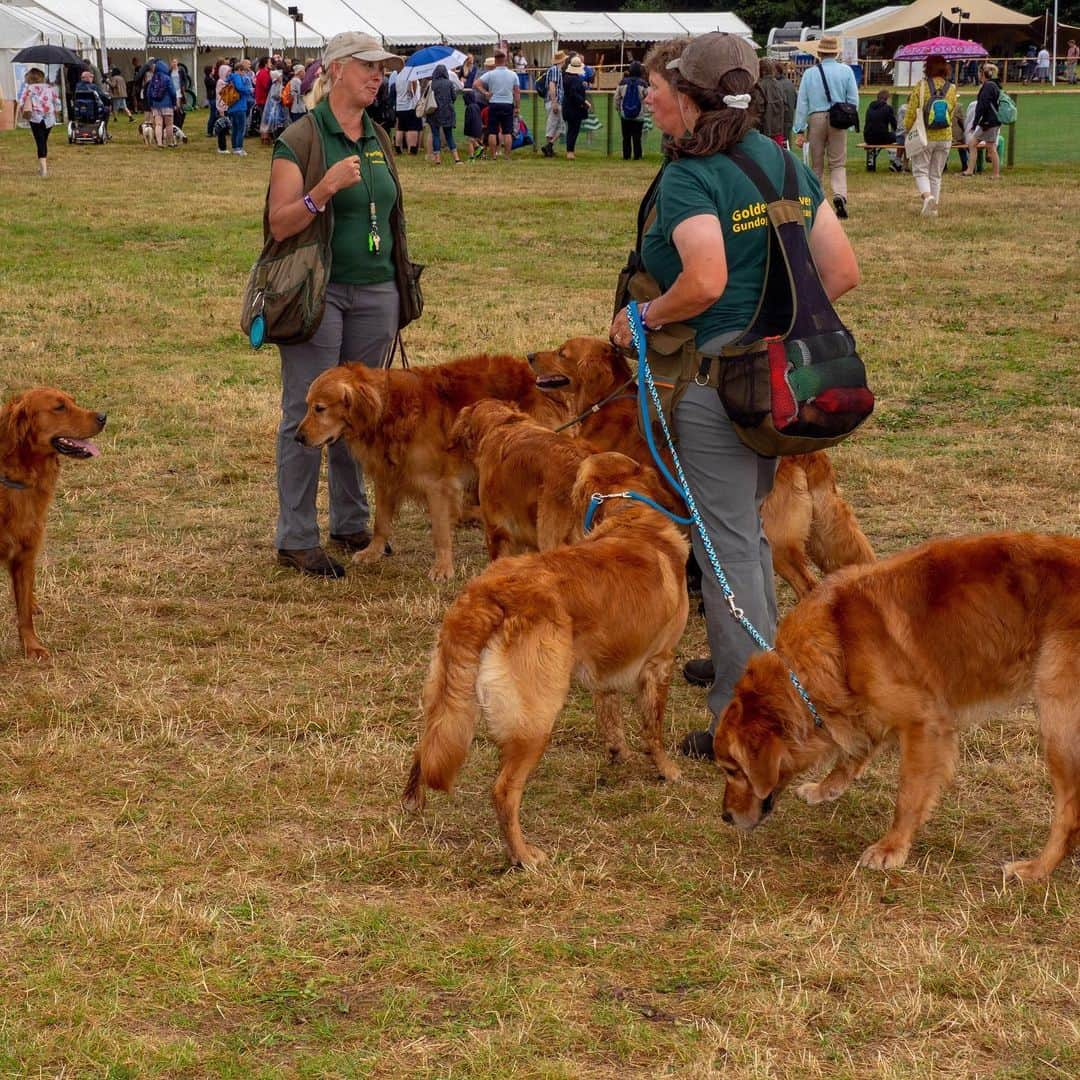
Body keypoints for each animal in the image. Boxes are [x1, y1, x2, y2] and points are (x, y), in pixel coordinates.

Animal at [0, 388, 105, 656]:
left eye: (73, 402)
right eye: (59, 407)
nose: (103, 417)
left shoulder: (26, 554)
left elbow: (24, 614)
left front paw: (32, 646)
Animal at [291, 356, 570, 578]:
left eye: (319, 408)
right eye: (307, 405)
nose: (297, 438)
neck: (390, 409)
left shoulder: (438, 485)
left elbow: (440, 531)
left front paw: (443, 568)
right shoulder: (387, 477)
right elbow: (381, 522)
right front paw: (373, 551)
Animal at [401, 455, 686, 868]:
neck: (629, 515)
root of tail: (487, 594)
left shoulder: (606, 663)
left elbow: (610, 714)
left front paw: (620, 753)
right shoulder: (659, 662)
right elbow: (654, 729)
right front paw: (668, 770)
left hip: (444, 696)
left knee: (426, 749)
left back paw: (415, 803)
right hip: (536, 717)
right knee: (503, 791)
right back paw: (523, 856)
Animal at [531, 334, 876, 600]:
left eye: (562, 352)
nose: (531, 355)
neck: (604, 404)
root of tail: (806, 453)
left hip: (777, 540)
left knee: (808, 585)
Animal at [708, 531, 1080, 876]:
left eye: (732, 770)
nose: (725, 816)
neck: (838, 641)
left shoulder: (924, 725)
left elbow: (908, 796)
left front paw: (892, 847)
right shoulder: (869, 710)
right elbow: (852, 754)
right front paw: (827, 787)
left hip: (1057, 724)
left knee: (1070, 811)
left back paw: (1037, 868)